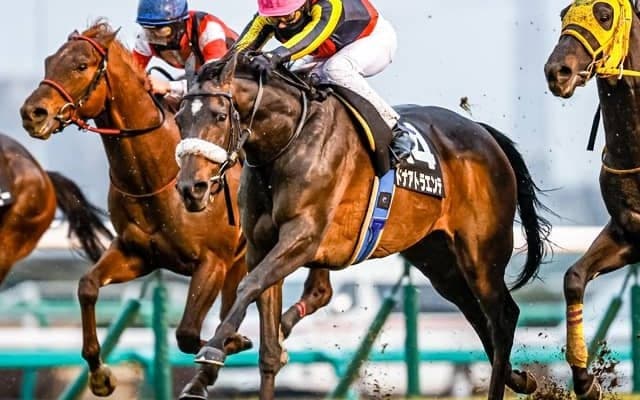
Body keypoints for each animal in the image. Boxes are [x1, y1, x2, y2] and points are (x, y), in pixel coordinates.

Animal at [173, 51, 552, 400]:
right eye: (179, 118)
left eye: (220, 116)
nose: (191, 188)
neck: (288, 140)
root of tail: (485, 134)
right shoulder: (260, 247)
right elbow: (267, 348)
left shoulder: (303, 237)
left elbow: (248, 285)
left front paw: (215, 348)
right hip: (438, 260)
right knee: (477, 314)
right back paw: (520, 378)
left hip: (481, 253)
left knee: (503, 316)